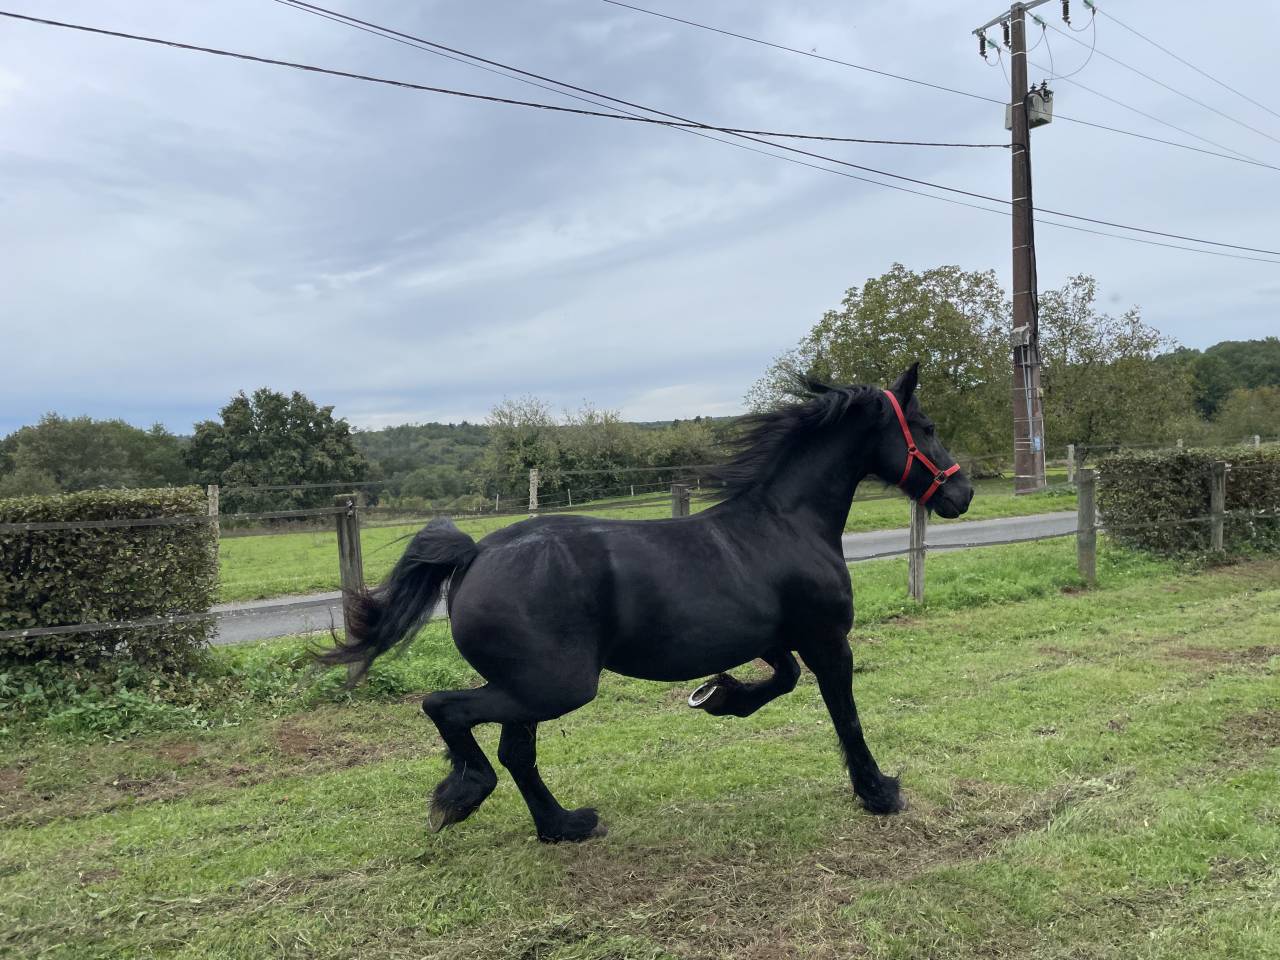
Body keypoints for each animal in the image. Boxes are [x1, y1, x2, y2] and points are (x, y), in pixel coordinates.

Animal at [318, 364, 973, 842]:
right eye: (927, 425)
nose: (962, 493)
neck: (786, 525)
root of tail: (475, 554)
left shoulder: (776, 639)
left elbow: (781, 680)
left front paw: (718, 697)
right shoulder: (827, 640)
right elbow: (846, 715)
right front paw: (879, 791)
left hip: (531, 686)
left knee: (514, 750)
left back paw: (562, 826)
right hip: (556, 685)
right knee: (449, 711)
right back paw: (463, 797)